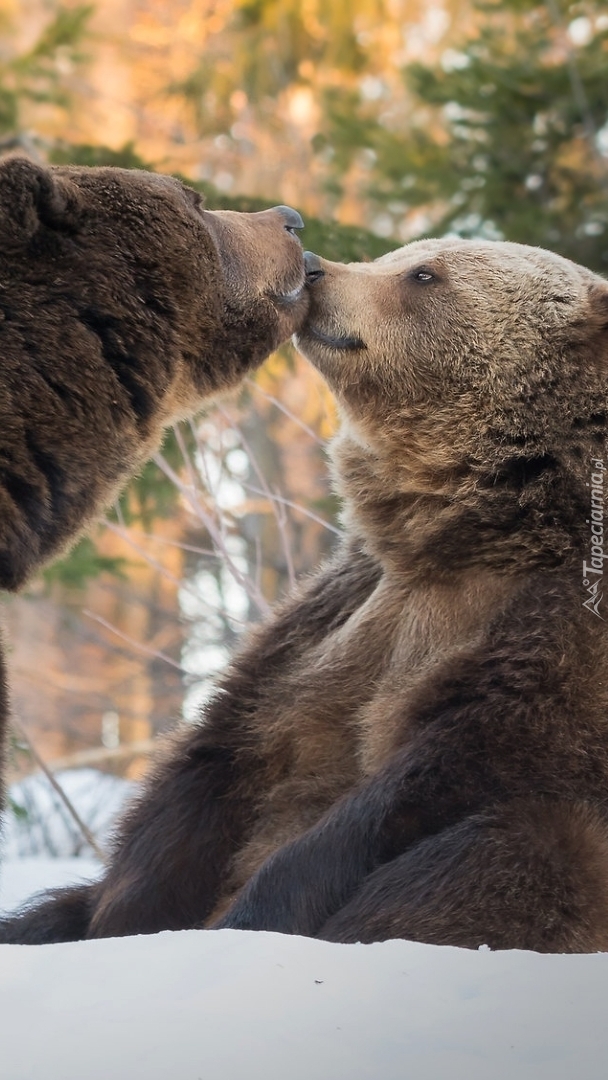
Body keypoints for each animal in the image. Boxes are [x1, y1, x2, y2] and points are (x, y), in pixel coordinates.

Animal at [4, 236, 608, 954]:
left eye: (424, 275)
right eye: (400, 255)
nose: (318, 269)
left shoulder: (551, 630)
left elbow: (440, 771)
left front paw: (254, 913)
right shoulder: (338, 615)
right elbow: (219, 761)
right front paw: (127, 920)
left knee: (514, 852)